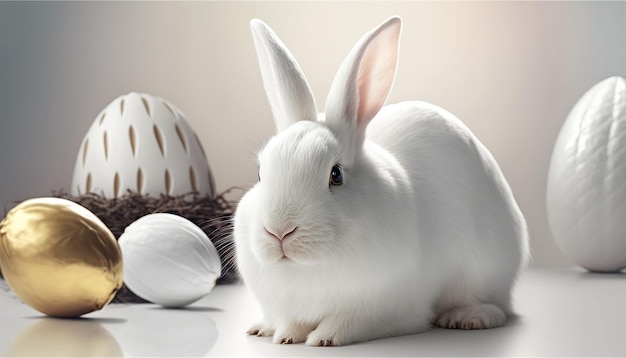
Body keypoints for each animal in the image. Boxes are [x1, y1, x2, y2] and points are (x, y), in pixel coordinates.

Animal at [233, 15, 528, 346]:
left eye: (336, 174)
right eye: (260, 173)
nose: (280, 231)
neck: (306, 269)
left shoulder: (385, 308)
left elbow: (346, 323)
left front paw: (323, 339)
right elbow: (292, 321)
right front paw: (286, 336)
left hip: (485, 269)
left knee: (496, 306)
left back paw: (468, 318)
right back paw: (262, 327)